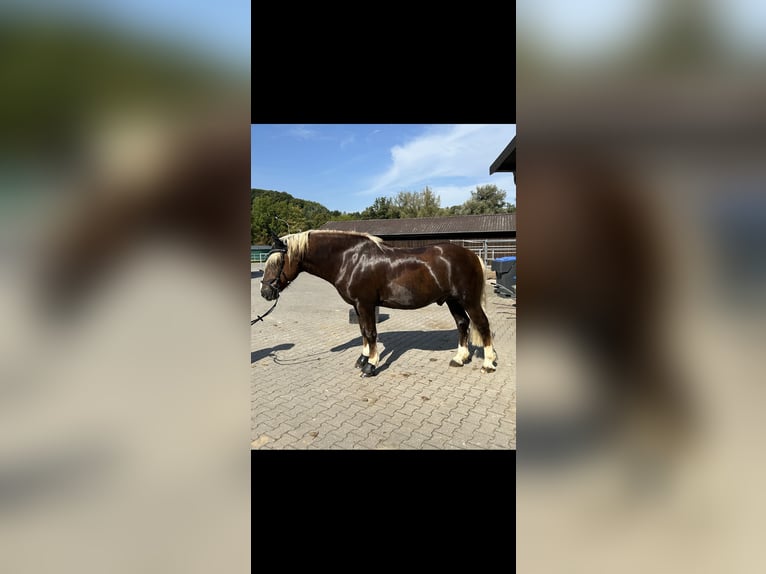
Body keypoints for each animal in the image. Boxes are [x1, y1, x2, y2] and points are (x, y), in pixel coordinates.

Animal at [259, 229, 497, 377]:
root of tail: (472, 255)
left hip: (468, 300)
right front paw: (363, 359)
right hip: (452, 301)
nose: (265, 292)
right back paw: (460, 358)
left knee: (482, 325)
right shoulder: (358, 305)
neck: (350, 259)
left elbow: (371, 332)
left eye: (278, 262)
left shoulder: (365, 304)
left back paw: (487, 364)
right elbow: (363, 331)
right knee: (463, 324)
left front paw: (371, 366)